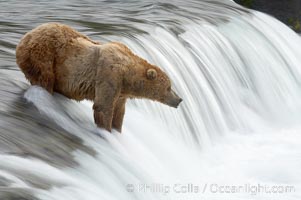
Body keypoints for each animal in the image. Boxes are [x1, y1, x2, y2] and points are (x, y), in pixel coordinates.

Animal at [15, 22, 180, 132]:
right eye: (169, 87)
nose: (179, 99)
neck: (128, 76)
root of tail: (24, 38)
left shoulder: (121, 91)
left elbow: (119, 111)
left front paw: (117, 130)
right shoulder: (109, 74)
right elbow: (103, 106)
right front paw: (106, 130)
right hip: (43, 55)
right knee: (45, 79)